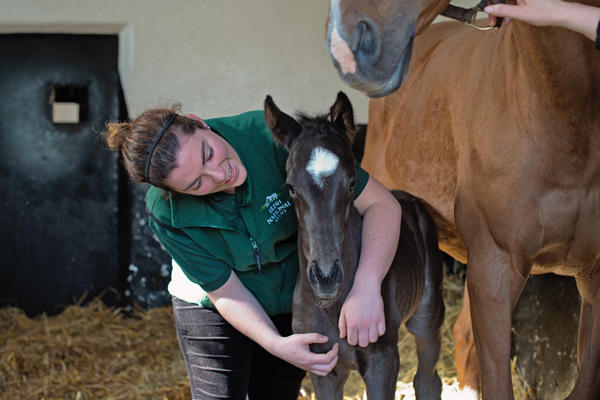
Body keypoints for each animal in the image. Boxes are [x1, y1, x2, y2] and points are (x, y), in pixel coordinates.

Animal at [264, 92, 442, 398]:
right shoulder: (321, 368)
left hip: (427, 317)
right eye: (290, 187)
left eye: (352, 183)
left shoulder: (383, 360)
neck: (331, 308)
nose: (326, 276)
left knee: (428, 379)